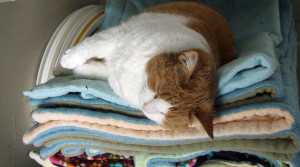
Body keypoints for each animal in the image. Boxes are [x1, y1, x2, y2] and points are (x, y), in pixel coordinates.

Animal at [59, 1, 237, 139]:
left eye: (165, 115)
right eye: (157, 91)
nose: (146, 107)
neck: (138, 76)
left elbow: (91, 68)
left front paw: (76, 69)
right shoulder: (115, 38)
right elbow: (90, 46)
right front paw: (68, 61)